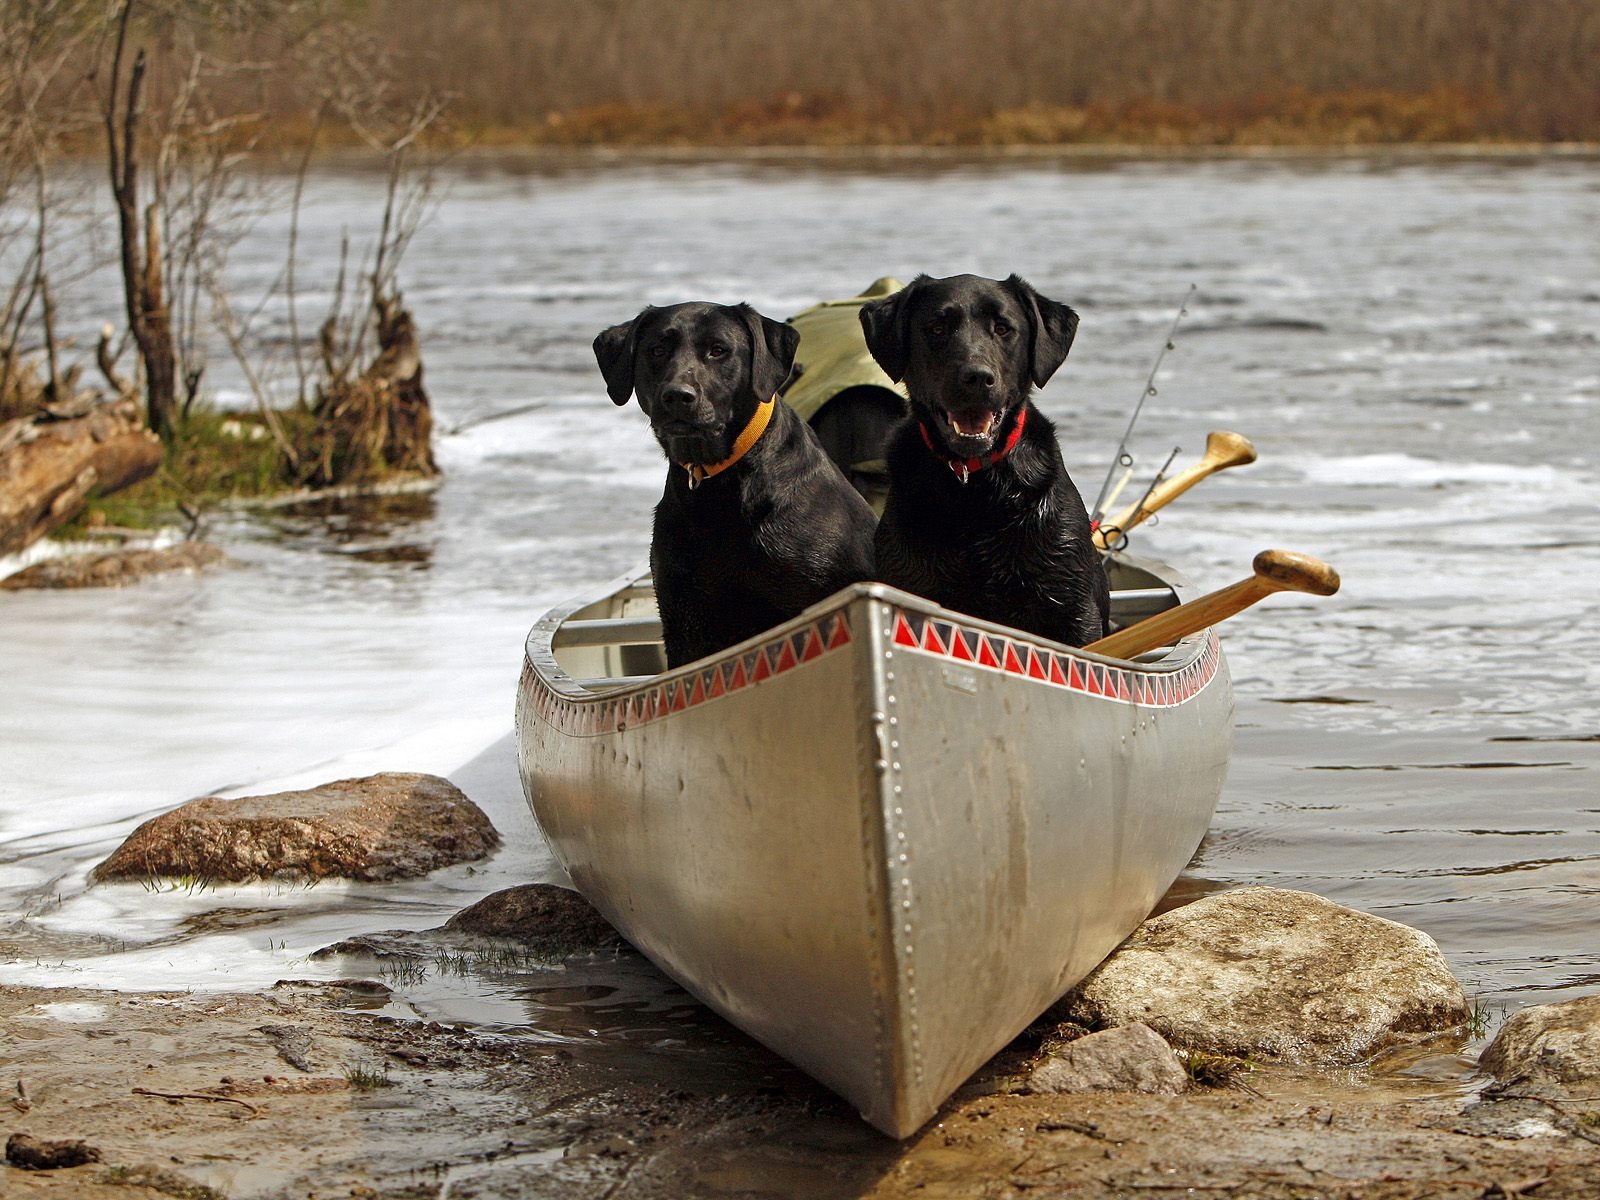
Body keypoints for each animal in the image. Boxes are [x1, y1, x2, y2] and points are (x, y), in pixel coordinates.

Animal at [857, 275, 1107, 649]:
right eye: (937, 328)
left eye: (1003, 328)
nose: (976, 377)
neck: (974, 486)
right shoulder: (911, 580)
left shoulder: (1071, 607)